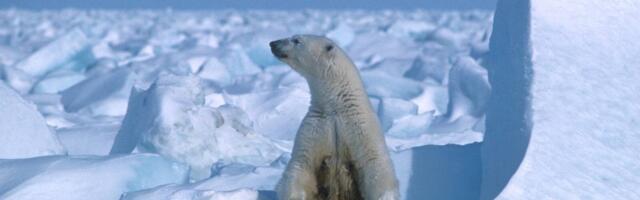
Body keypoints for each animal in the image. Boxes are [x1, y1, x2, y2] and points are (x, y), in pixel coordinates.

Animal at [268, 35, 398, 199]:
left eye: (296, 40)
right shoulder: (316, 127)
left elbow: (375, 165)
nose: (273, 43)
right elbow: (301, 165)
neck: (337, 108)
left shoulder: (362, 129)